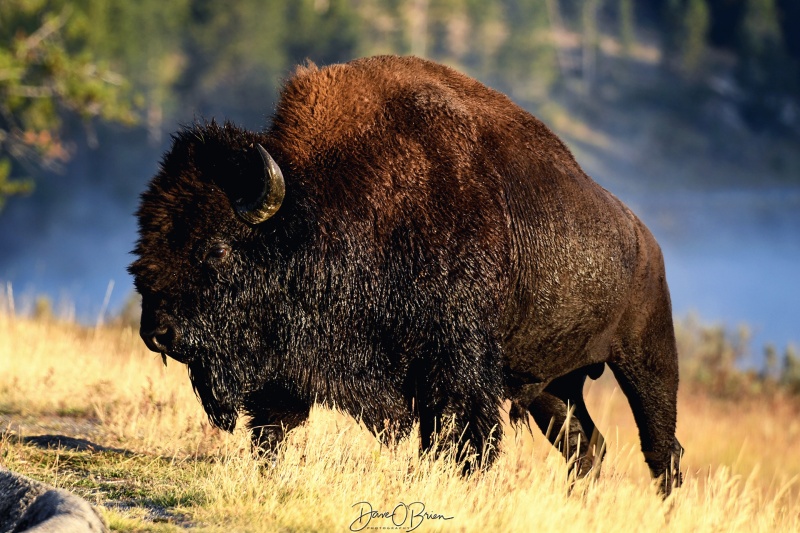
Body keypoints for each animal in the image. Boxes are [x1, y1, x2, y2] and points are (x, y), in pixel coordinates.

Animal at [130, 56, 680, 492]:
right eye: (147, 240)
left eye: (217, 249)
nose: (158, 333)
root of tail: (646, 240)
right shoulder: (290, 365)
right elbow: (273, 430)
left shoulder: (456, 371)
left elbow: (461, 440)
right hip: (552, 383)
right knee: (586, 447)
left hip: (647, 360)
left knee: (661, 449)